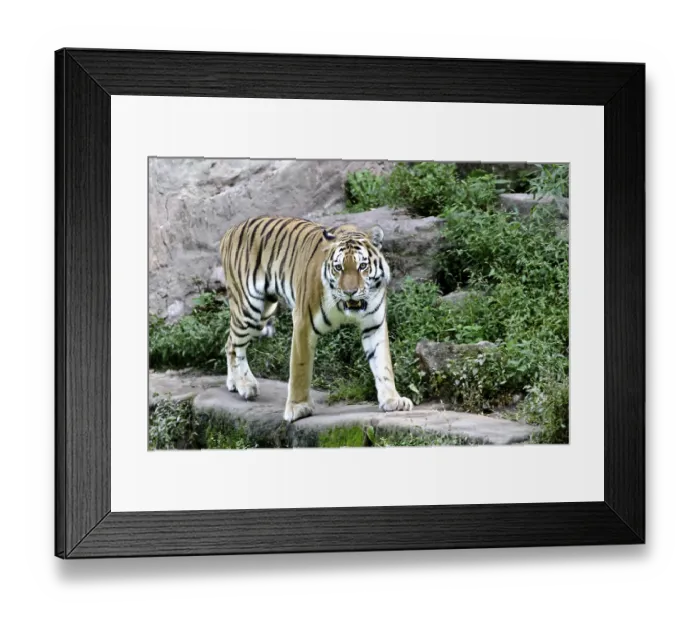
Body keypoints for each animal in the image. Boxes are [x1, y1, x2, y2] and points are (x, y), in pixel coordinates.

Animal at [218, 215, 414, 423]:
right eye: (338, 268)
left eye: (362, 266)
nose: (350, 292)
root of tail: (231, 230)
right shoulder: (303, 322)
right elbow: (300, 368)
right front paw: (298, 407)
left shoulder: (374, 324)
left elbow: (383, 364)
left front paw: (392, 400)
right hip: (249, 308)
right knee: (235, 345)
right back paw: (244, 385)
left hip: (264, 310)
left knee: (229, 342)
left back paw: (234, 382)